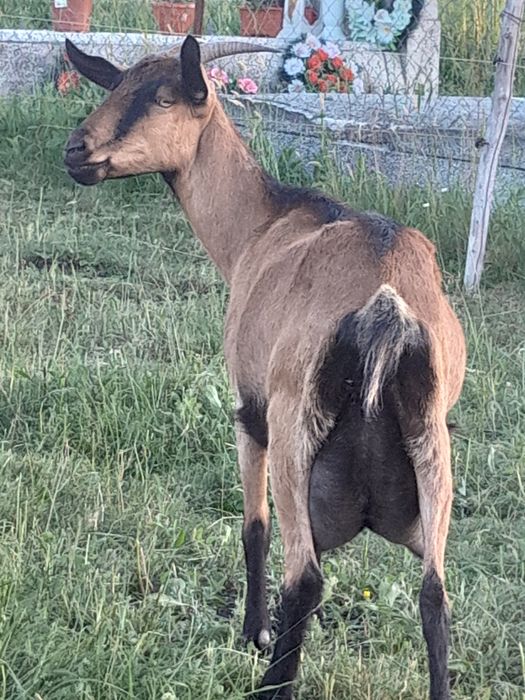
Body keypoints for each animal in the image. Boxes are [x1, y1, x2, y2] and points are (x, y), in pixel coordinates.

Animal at [63, 35, 466, 700]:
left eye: (166, 97)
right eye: (114, 87)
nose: (77, 151)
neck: (265, 223)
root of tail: (386, 314)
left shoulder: (249, 411)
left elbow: (254, 527)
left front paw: (253, 633)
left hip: (294, 433)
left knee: (303, 576)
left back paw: (270, 682)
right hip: (433, 449)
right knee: (434, 595)